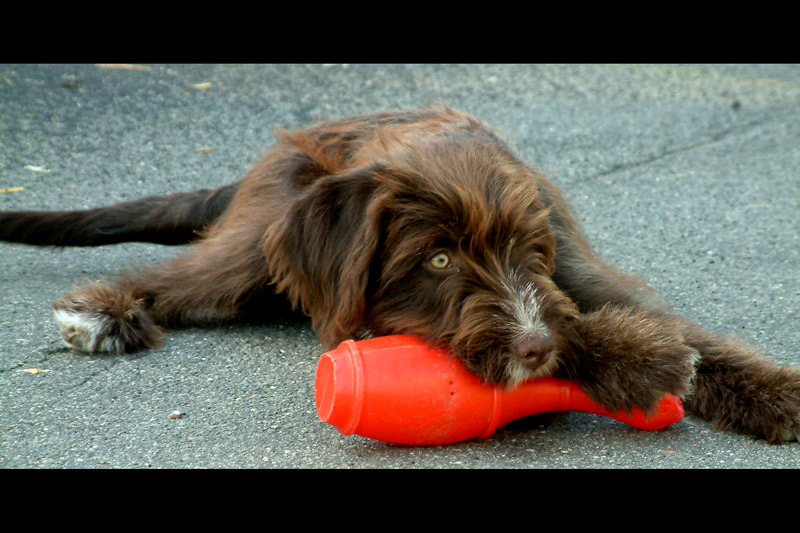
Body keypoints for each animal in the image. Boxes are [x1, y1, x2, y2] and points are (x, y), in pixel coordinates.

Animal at [1, 107, 800, 440]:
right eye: (439, 260)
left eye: (528, 250)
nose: (534, 347)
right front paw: (636, 361)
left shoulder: (576, 272)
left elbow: (690, 336)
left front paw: (777, 395)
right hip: (260, 238)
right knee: (184, 276)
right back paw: (102, 310)